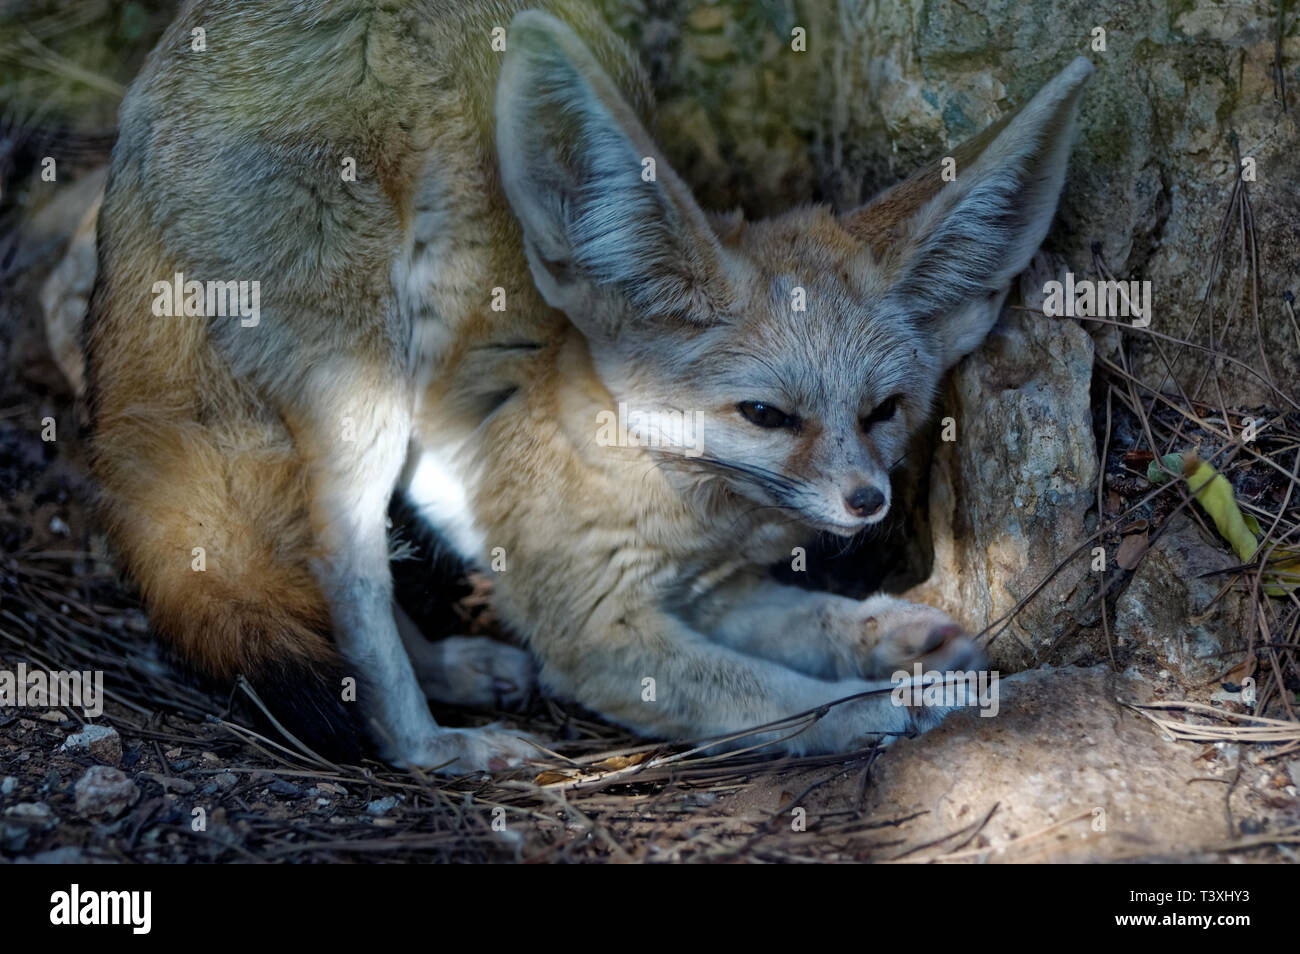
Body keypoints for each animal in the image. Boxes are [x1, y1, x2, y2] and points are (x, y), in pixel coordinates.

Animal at [84, 0, 1093, 772]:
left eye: (883, 411)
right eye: (766, 415)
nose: (867, 502)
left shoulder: (706, 592)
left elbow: (809, 619)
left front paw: (894, 637)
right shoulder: (597, 635)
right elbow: (776, 697)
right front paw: (884, 707)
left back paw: (450, 670)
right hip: (365, 396)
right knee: (343, 568)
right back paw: (429, 743)